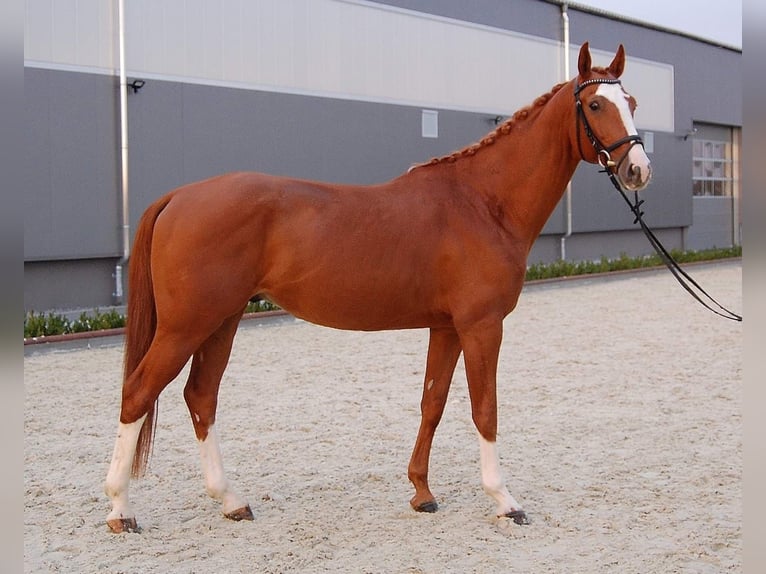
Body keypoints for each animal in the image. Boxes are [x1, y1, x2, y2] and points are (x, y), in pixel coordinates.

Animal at [103, 41, 656, 536]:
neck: (482, 202)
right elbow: (485, 409)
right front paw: (504, 500)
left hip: (223, 319)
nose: (637, 170)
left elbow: (433, 403)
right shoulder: (482, 326)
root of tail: (179, 196)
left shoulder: (446, 328)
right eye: (595, 104)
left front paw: (422, 493)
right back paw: (120, 510)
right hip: (187, 325)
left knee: (201, 396)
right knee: (138, 393)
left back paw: (230, 501)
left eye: (632, 102)